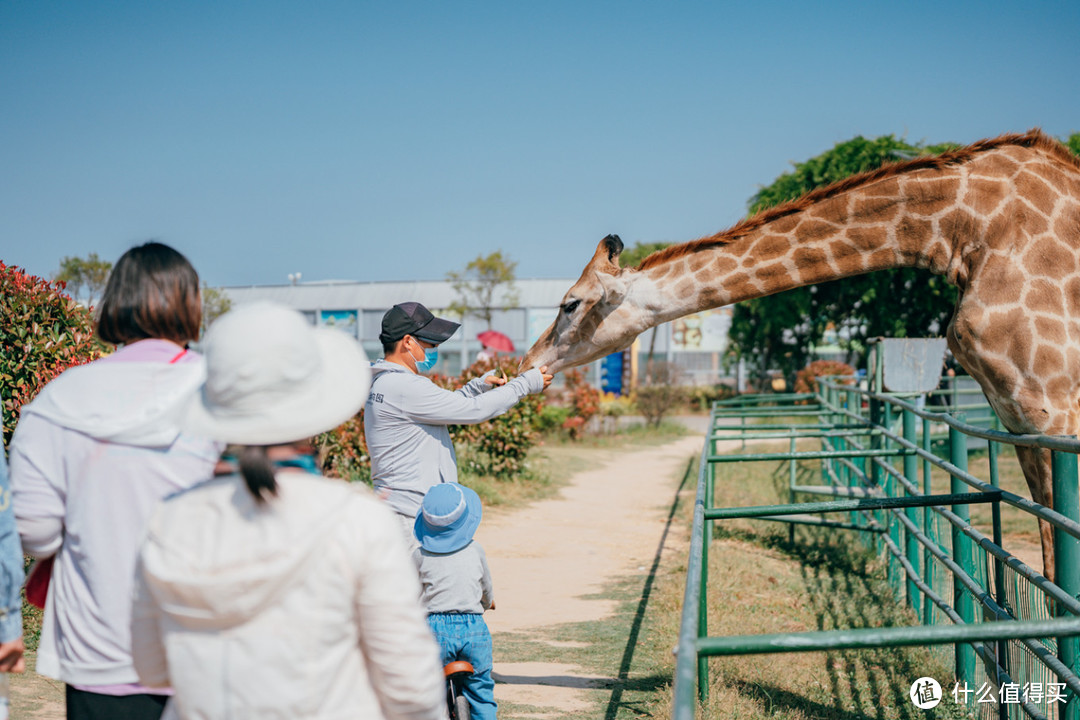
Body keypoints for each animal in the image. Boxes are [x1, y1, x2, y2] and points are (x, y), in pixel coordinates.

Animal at [527, 127, 1080, 578]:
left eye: (570, 303)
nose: (527, 364)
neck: (961, 232)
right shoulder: (1017, 416)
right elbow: (1052, 564)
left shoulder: (1054, 407)